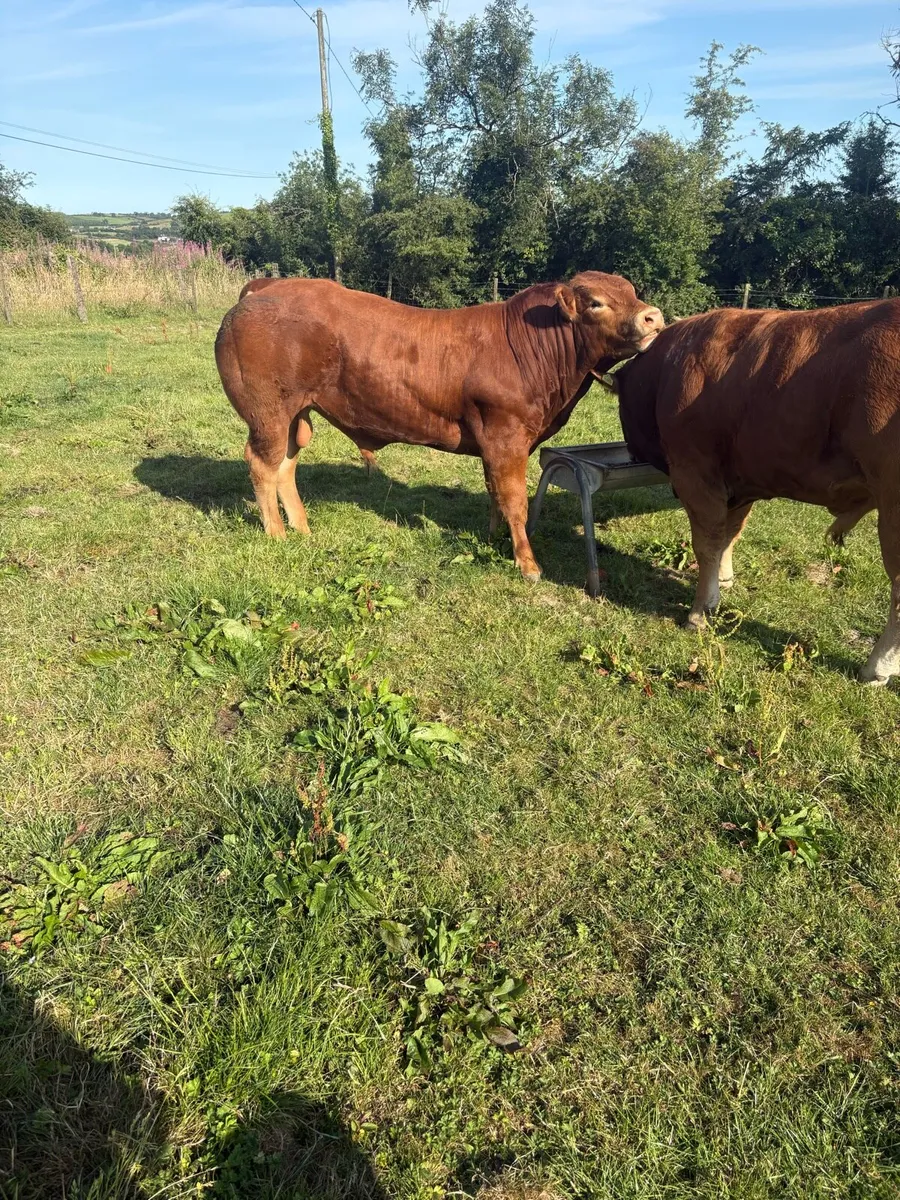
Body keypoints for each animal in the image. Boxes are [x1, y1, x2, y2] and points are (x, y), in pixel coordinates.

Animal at [215, 273, 663, 580]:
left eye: (632, 292)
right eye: (597, 303)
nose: (654, 317)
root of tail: (265, 287)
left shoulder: (494, 443)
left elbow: (495, 494)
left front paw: (494, 539)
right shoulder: (506, 436)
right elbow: (514, 499)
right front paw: (527, 563)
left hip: (295, 415)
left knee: (285, 466)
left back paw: (303, 528)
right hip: (269, 413)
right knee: (262, 464)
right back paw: (276, 533)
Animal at [614, 300, 900, 684]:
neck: (667, 370)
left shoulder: (696, 474)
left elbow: (707, 544)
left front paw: (699, 612)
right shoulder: (741, 482)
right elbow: (729, 536)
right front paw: (722, 583)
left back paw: (876, 667)